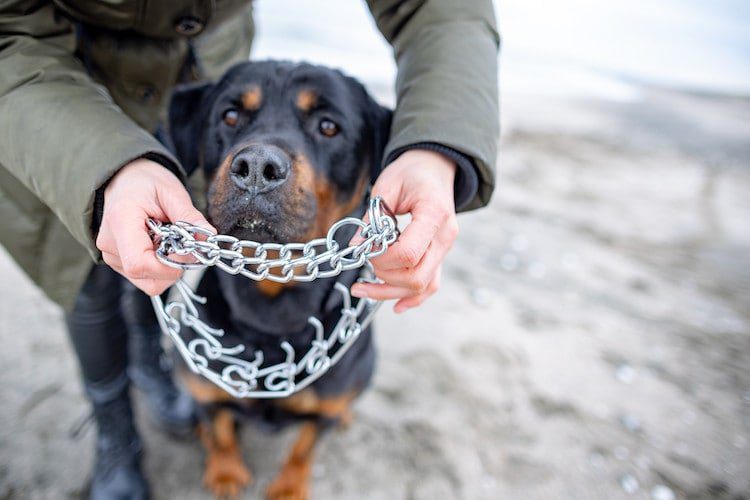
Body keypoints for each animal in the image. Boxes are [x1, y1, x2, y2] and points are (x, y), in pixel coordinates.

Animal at [169, 60, 394, 498]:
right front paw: (225, 472)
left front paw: (289, 487)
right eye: (230, 115)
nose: (257, 167)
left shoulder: (323, 407)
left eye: (328, 126)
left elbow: (304, 448)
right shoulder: (206, 387)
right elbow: (221, 428)